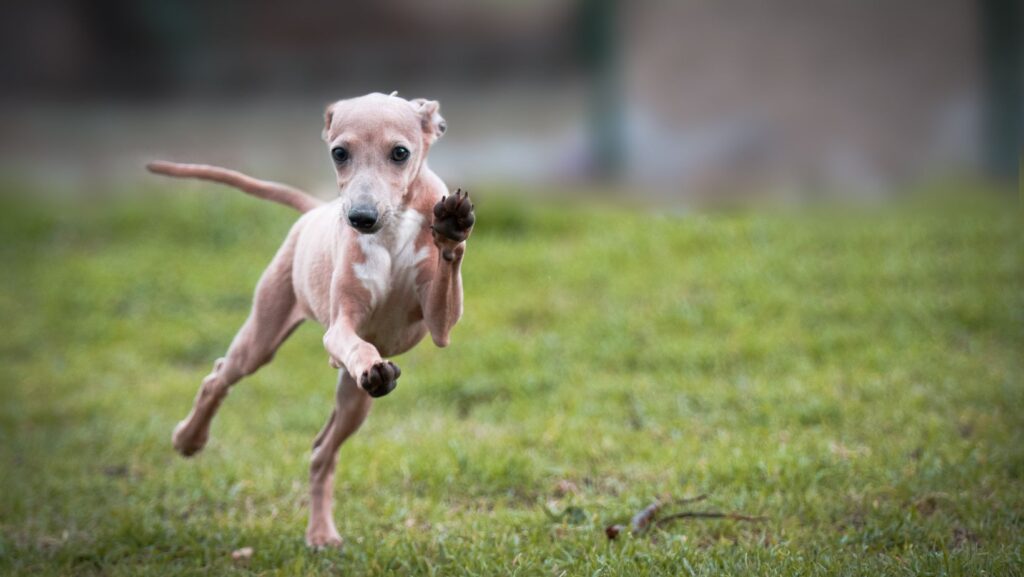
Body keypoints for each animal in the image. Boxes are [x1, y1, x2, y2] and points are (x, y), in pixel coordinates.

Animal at [146, 92, 473, 549]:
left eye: (400, 152)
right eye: (339, 153)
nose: (360, 218)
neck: (392, 230)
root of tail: (315, 211)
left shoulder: (440, 324)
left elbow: (447, 278)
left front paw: (452, 228)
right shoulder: (340, 330)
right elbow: (353, 342)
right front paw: (369, 361)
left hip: (354, 402)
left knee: (323, 451)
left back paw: (320, 531)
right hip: (264, 337)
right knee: (219, 377)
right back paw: (188, 439)